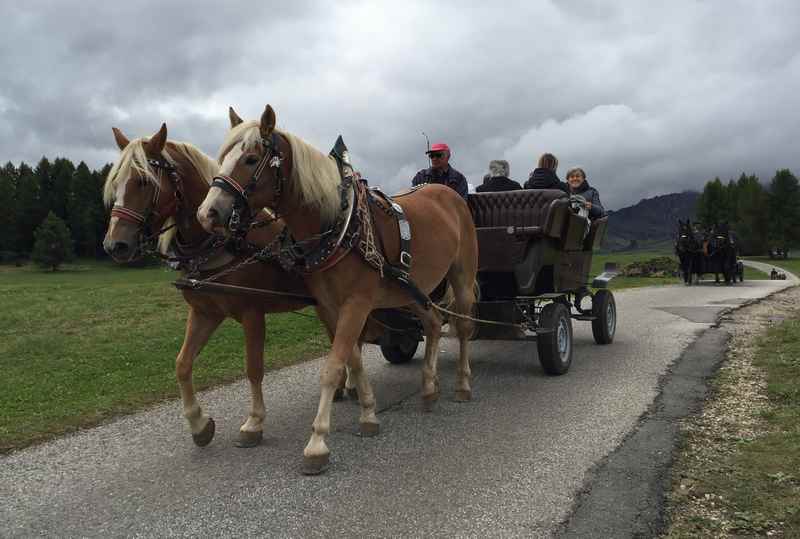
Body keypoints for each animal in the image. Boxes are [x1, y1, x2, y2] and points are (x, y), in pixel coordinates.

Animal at [104, 124, 322, 450]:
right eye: (115, 182)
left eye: (143, 181)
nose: (114, 245)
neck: (221, 242)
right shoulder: (205, 313)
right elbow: (182, 364)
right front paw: (199, 423)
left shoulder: (253, 313)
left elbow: (254, 367)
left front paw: (254, 422)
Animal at [197, 104, 478, 472]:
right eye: (222, 156)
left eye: (250, 158)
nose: (208, 213)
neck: (339, 224)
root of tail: (449, 195)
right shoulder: (330, 306)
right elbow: (351, 358)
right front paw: (368, 413)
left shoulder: (356, 304)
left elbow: (332, 367)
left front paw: (317, 442)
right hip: (410, 288)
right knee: (431, 323)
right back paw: (429, 388)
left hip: (462, 276)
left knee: (463, 327)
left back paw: (462, 383)